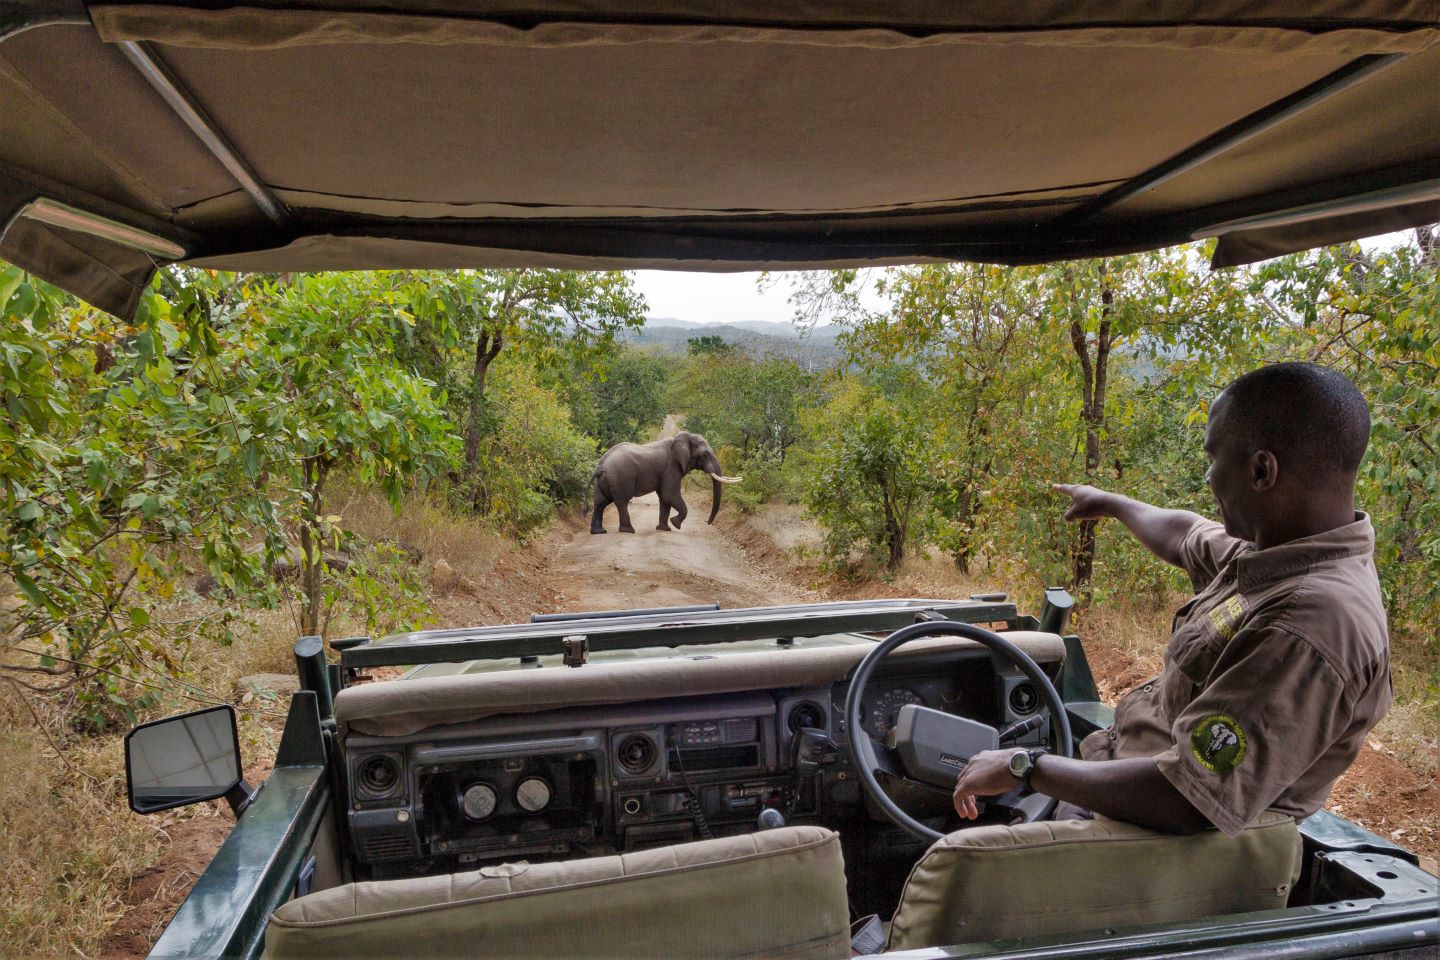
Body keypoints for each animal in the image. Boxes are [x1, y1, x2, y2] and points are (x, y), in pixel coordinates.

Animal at [587, 434, 743, 538]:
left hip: (604, 481)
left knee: (600, 503)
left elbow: (664, 498)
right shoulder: (671, 468)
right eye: (705, 454)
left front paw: (664, 529)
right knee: (622, 502)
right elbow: (669, 494)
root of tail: (600, 467)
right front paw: (676, 524)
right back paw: (629, 531)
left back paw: (599, 532)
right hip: (620, 478)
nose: (707, 522)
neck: (683, 438)